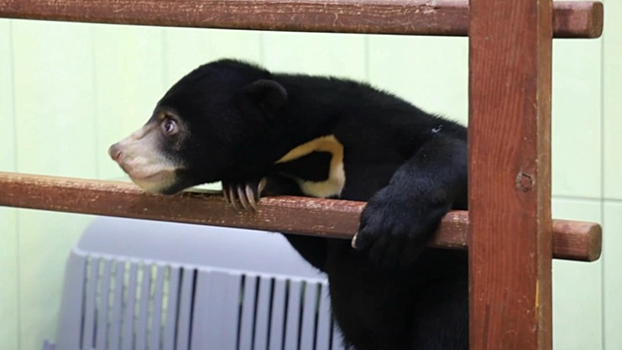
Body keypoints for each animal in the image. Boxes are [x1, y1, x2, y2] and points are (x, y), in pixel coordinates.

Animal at [108, 58, 468, 348]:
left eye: (169, 123)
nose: (117, 151)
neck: (309, 149)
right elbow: (323, 251)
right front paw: (248, 186)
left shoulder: (378, 122)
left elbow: (450, 140)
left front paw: (390, 225)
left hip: (447, 290)